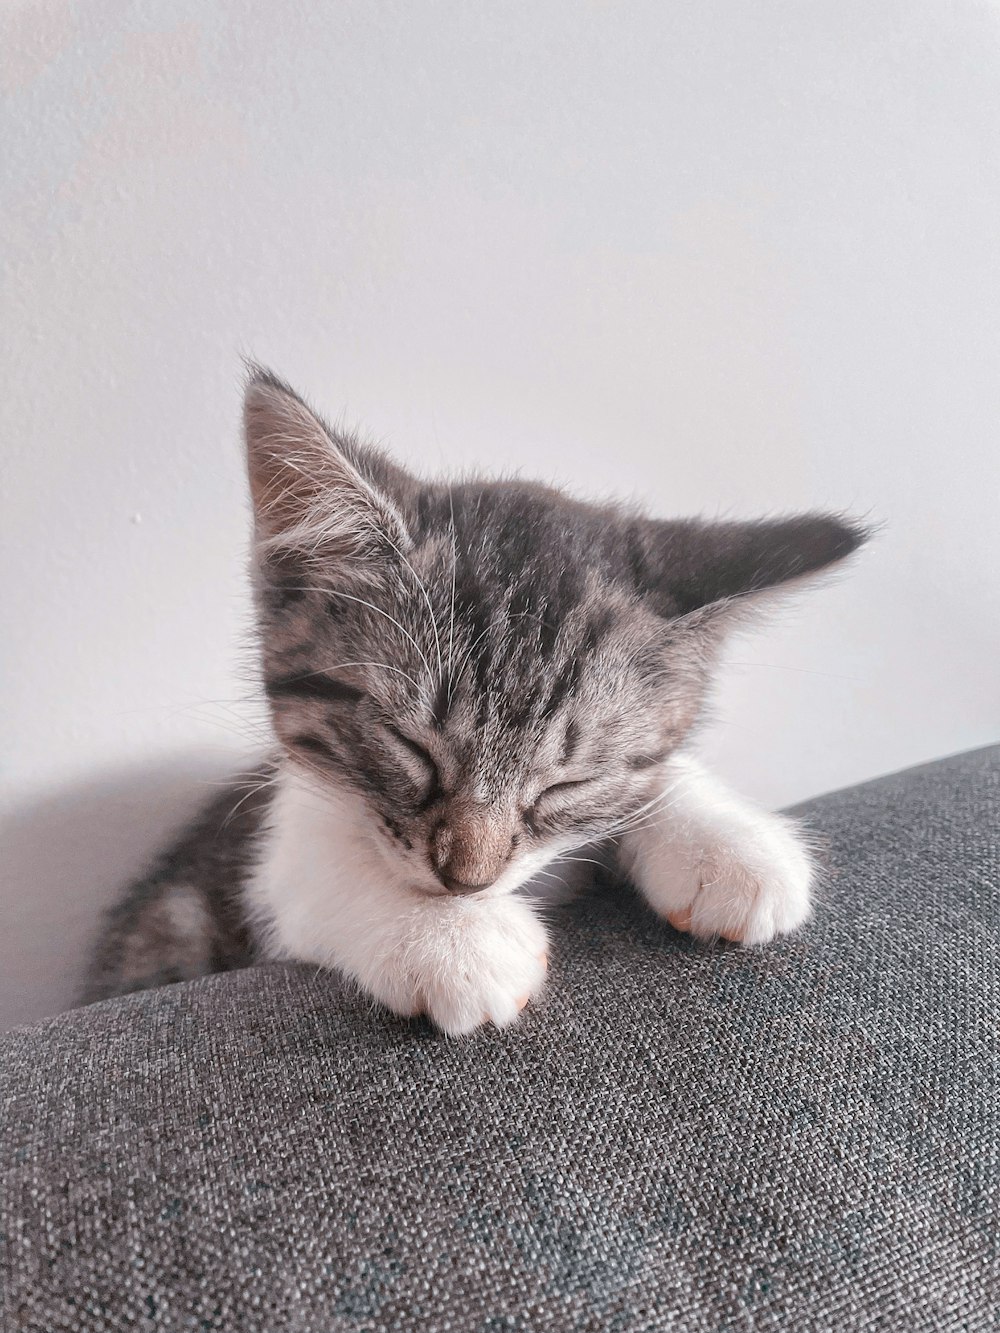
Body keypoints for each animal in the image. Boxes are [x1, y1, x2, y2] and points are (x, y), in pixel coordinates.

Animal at [84, 370, 869, 1034]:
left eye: (567, 782)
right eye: (409, 747)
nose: (467, 882)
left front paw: (727, 843)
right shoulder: (274, 836)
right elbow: (312, 863)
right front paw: (452, 939)